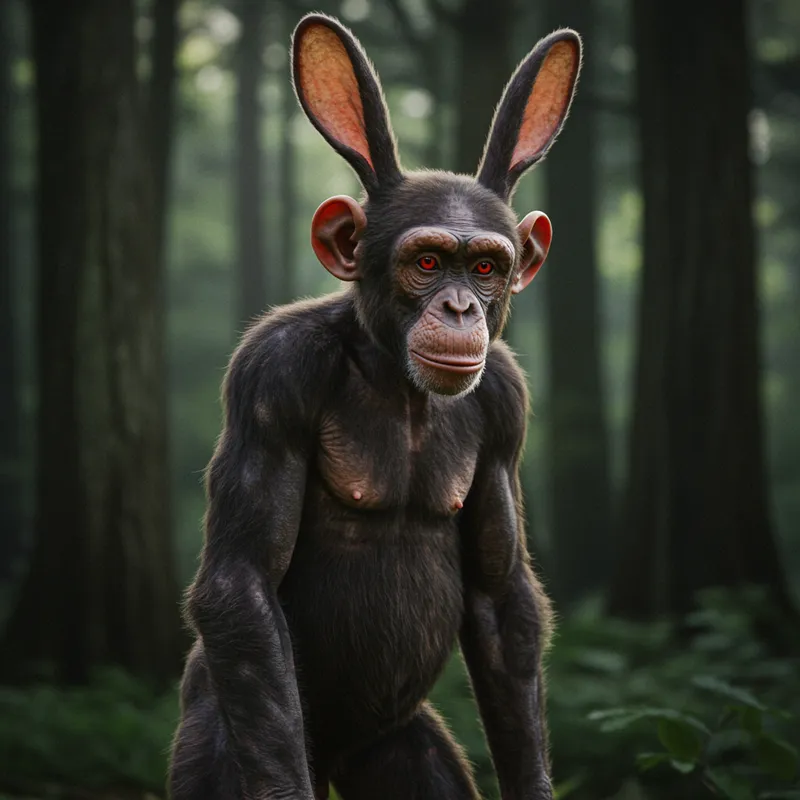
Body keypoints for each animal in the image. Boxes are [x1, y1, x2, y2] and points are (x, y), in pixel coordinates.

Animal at [169, 13, 581, 800]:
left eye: (487, 266)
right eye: (427, 262)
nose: (459, 308)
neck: (395, 376)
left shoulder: (507, 403)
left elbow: (500, 601)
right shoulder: (273, 373)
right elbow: (243, 583)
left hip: (397, 746)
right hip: (217, 726)